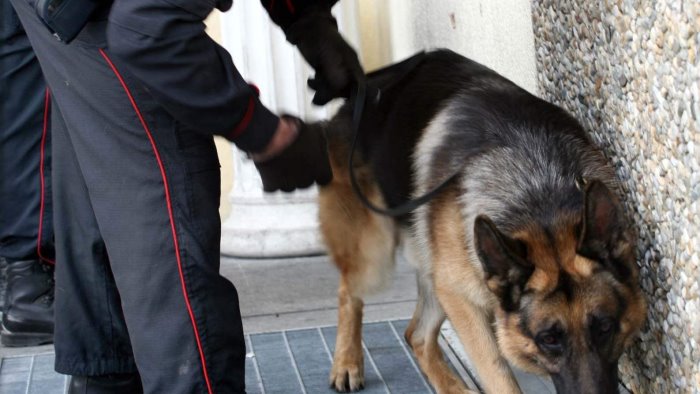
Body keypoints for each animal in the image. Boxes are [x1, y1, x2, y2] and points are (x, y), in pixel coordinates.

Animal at [316, 50, 644, 394]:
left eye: (604, 326)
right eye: (549, 339)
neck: (540, 197)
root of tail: (359, 93)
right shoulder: (462, 299)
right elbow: (499, 375)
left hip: (433, 267)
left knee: (416, 335)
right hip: (376, 251)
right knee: (349, 293)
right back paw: (347, 362)